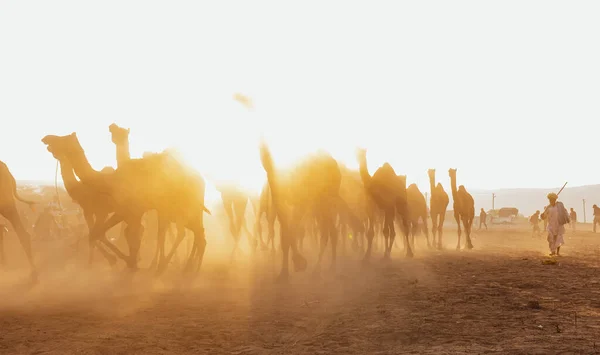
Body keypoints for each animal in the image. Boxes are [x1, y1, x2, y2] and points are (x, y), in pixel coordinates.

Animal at [42, 134, 211, 272]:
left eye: (62, 139)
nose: (46, 138)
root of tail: (200, 179)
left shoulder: (119, 211)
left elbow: (129, 235)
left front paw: (127, 262)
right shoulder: (119, 212)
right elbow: (101, 233)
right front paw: (126, 261)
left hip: (182, 208)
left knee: (185, 233)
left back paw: (175, 266)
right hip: (175, 210)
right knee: (193, 233)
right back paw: (184, 267)